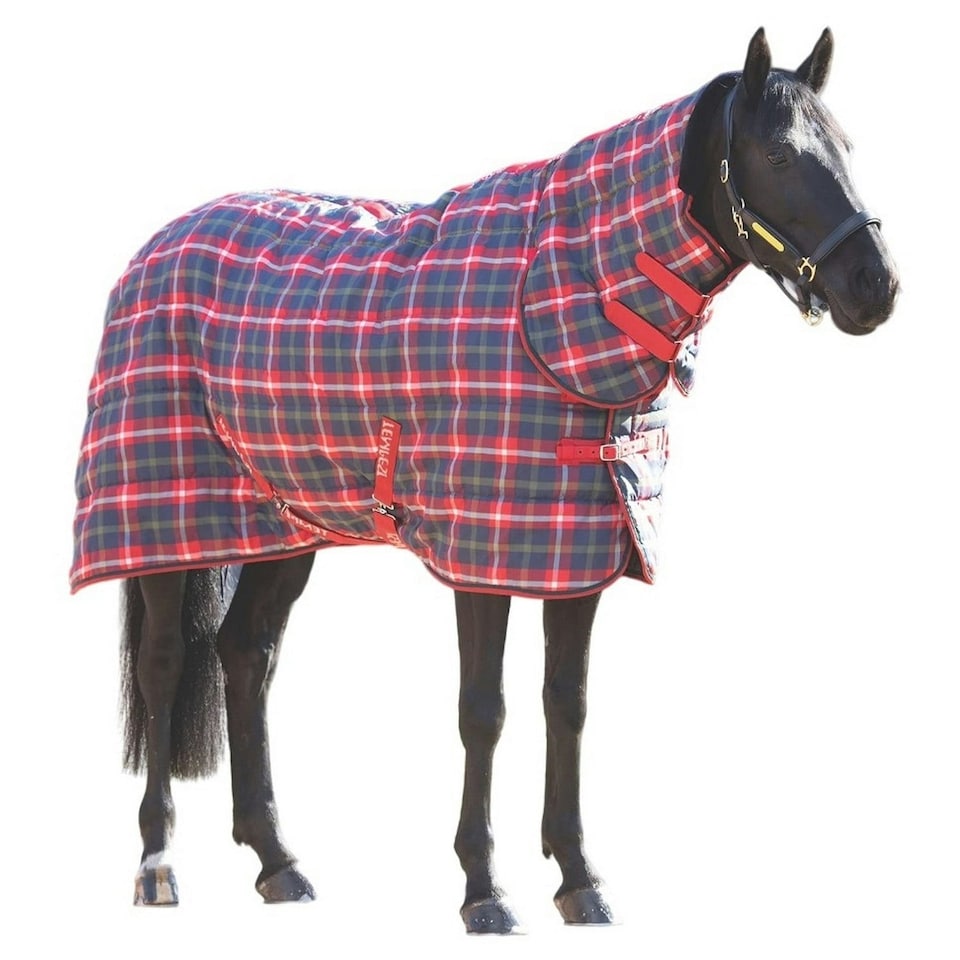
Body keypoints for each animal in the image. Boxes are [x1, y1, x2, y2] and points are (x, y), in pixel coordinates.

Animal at [71, 27, 898, 933]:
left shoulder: (579, 547)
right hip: (157, 523)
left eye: (846, 146)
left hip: (286, 523)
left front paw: (579, 880)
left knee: (245, 654)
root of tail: (155, 248)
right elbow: (485, 712)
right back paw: (157, 866)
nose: (877, 286)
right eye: (780, 154)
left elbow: (565, 704)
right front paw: (484, 892)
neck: (557, 302)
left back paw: (279, 862)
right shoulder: (482, 554)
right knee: (162, 666)